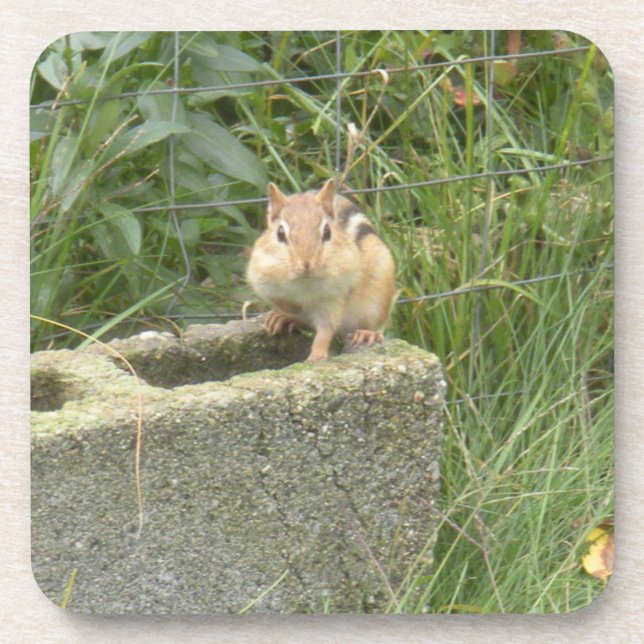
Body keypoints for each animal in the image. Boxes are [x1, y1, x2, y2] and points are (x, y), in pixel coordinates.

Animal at [246, 179, 397, 362]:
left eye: (327, 232)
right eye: (280, 233)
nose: (307, 264)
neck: (304, 283)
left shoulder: (334, 297)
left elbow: (326, 329)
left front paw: (316, 356)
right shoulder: (262, 275)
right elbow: (282, 301)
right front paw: (289, 311)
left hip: (376, 301)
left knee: (366, 325)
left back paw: (366, 334)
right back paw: (282, 318)